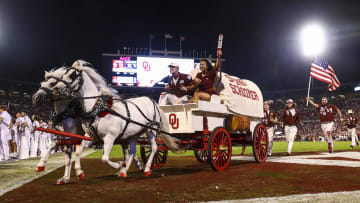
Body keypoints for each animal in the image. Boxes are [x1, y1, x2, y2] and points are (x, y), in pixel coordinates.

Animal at [51, 59, 179, 177]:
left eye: (72, 75)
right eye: (64, 74)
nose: (55, 88)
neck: (99, 110)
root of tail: (152, 101)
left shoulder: (110, 137)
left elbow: (104, 158)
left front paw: (119, 164)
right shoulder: (92, 136)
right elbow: (78, 152)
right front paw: (79, 172)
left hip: (150, 130)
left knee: (154, 147)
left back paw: (146, 169)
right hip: (134, 134)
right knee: (132, 151)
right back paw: (123, 171)